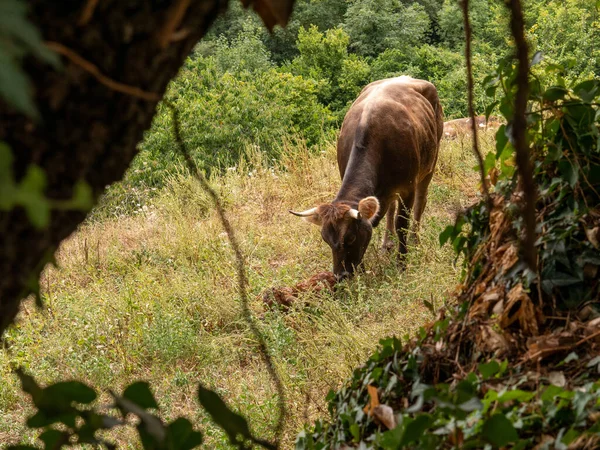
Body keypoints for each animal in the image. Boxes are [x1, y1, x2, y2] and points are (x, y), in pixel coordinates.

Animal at [288, 78, 442, 282]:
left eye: (351, 238)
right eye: (325, 239)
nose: (341, 276)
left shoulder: (408, 188)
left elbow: (402, 224)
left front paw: (402, 264)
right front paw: (362, 269)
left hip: (430, 163)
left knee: (421, 201)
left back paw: (415, 239)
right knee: (390, 207)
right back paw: (387, 244)